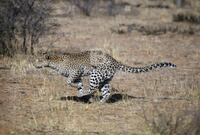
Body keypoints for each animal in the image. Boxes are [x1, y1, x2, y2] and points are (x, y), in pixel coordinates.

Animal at [34, 50, 177, 103]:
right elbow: (78, 84)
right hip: (104, 79)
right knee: (107, 91)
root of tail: (115, 60)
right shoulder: (78, 76)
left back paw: (89, 96)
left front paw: (79, 92)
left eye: (39, 60)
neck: (54, 62)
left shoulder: (76, 71)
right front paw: (79, 92)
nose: (34, 65)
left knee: (92, 88)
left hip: (95, 75)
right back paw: (100, 102)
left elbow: (69, 82)